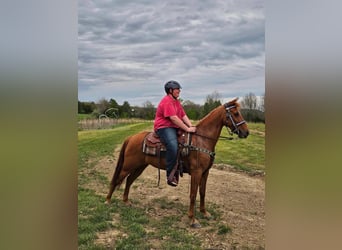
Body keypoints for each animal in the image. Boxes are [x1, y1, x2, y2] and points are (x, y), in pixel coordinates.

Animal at [104, 98, 248, 228]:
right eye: (236, 113)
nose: (246, 132)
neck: (202, 140)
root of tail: (131, 138)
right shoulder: (196, 172)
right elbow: (193, 194)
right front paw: (192, 220)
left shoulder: (205, 172)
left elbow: (202, 192)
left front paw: (204, 212)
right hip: (128, 166)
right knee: (117, 179)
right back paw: (108, 200)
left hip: (140, 166)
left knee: (129, 180)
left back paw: (126, 201)